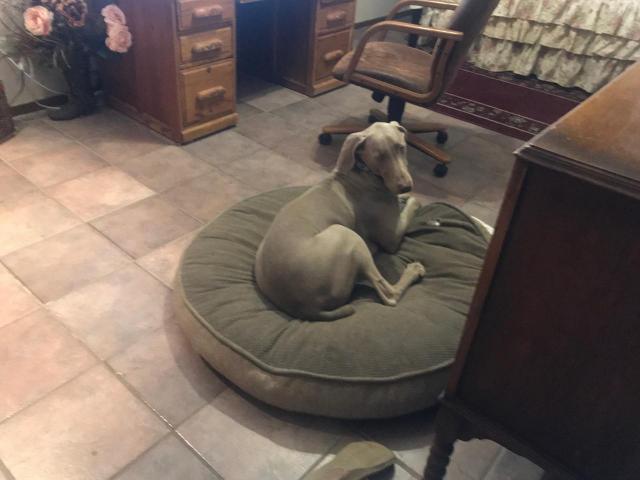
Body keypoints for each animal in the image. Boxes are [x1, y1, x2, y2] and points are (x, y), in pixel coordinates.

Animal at [255, 122, 424, 320]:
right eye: (379, 156)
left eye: (401, 148)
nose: (406, 186)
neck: (362, 172)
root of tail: (306, 308)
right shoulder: (392, 238)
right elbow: (413, 204)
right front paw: (411, 199)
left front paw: (403, 197)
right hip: (346, 235)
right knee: (389, 295)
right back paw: (413, 270)